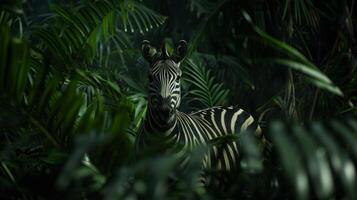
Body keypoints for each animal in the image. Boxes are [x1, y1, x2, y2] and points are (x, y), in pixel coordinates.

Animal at [135, 39, 266, 184]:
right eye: (150, 77)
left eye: (178, 78)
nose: (165, 110)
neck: (162, 137)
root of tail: (236, 107)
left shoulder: (196, 179)